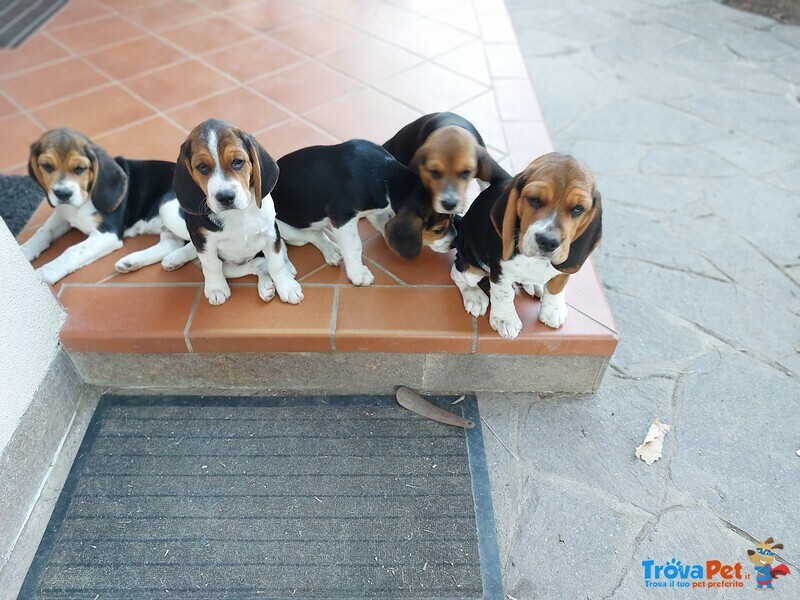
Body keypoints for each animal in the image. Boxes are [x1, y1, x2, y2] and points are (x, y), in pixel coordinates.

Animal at [20, 129, 176, 284]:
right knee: (170, 244)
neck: (80, 205)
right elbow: (43, 231)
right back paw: (135, 262)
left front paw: (45, 272)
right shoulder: (62, 213)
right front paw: (24, 252)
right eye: (47, 166)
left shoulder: (107, 234)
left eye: (80, 168)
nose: (63, 194)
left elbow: (72, 250)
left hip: (167, 206)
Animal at [119, 118, 304, 304]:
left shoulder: (270, 235)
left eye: (238, 161)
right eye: (202, 166)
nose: (226, 197)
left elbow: (276, 264)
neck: (237, 215)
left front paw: (287, 286)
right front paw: (216, 288)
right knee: (255, 264)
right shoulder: (204, 242)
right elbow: (212, 265)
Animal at [276, 139, 454, 288]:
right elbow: (355, 245)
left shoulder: (377, 210)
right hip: (285, 229)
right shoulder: (342, 217)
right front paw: (358, 273)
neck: (387, 175)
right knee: (312, 235)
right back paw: (329, 249)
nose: (454, 243)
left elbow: (384, 224)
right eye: (438, 230)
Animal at [450, 152, 600, 340]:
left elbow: (557, 287)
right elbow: (504, 294)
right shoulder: (500, 270)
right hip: (471, 268)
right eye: (534, 200)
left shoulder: (564, 265)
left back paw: (535, 285)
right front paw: (505, 320)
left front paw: (553, 311)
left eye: (578, 208)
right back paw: (474, 296)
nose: (548, 241)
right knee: (458, 273)